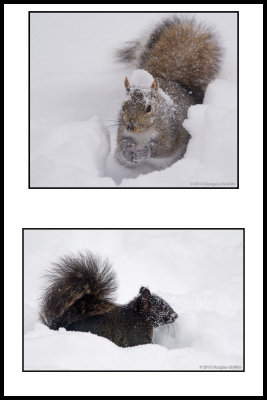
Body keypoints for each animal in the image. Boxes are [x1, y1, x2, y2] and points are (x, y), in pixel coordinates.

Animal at [114, 15, 222, 167]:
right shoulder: (121, 129)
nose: (131, 127)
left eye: (149, 108)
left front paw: (144, 151)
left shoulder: (170, 131)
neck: (143, 133)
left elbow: (164, 148)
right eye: (123, 106)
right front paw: (126, 151)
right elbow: (121, 141)